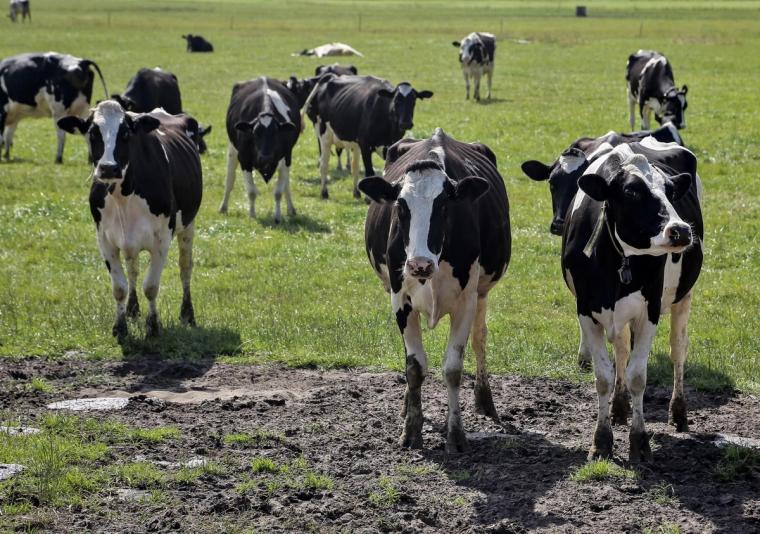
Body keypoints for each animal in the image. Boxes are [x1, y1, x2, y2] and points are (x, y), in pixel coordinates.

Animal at [57, 100, 203, 339]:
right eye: (92, 132)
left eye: (125, 133)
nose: (108, 168)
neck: (122, 196)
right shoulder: (105, 240)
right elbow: (120, 287)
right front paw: (120, 326)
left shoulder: (162, 240)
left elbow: (151, 286)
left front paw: (153, 326)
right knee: (133, 269)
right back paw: (133, 310)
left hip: (188, 226)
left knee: (185, 267)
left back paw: (187, 314)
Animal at [219, 77, 301, 223]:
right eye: (255, 133)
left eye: (276, 133)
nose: (266, 158)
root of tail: (263, 77)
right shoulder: (244, 159)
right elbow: (251, 191)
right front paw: (252, 215)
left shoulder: (286, 157)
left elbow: (278, 192)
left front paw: (277, 217)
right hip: (232, 150)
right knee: (230, 178)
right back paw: (223, 207)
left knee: (286, 185)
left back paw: (291, 209)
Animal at [303, 74, 433, 199]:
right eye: (396, 101)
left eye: (413, 101)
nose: (406, 123)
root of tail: (329, 77)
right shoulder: (365, 145)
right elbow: (369, 172)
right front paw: (369, 199)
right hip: (324, 136)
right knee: (324, 165)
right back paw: (324, 192)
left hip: (354, 143)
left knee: (354, 167)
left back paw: (356, 192)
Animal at [358, 128, 511, 453]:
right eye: (400, 207)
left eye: (443, 206)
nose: (419, 264)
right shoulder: (400, 300)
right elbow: (414, 366)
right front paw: (411, 430)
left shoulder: (466, 302)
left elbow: (453, 368)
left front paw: (456, 435)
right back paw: (406, 405)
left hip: (482, 293)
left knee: (480, 340)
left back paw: (485, 401)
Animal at [561, 138, 703, 461]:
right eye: (631, 192)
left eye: (669, 191)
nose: (681, 230)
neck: (619, 260)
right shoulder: (586, 310)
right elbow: (604, 376)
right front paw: (601, 441)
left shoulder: (649, 310)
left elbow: (638, 375)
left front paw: (639, 442)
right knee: (623, 350)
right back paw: (619, 408)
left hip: (683, 297)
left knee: (678, 350)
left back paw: (678, 413)